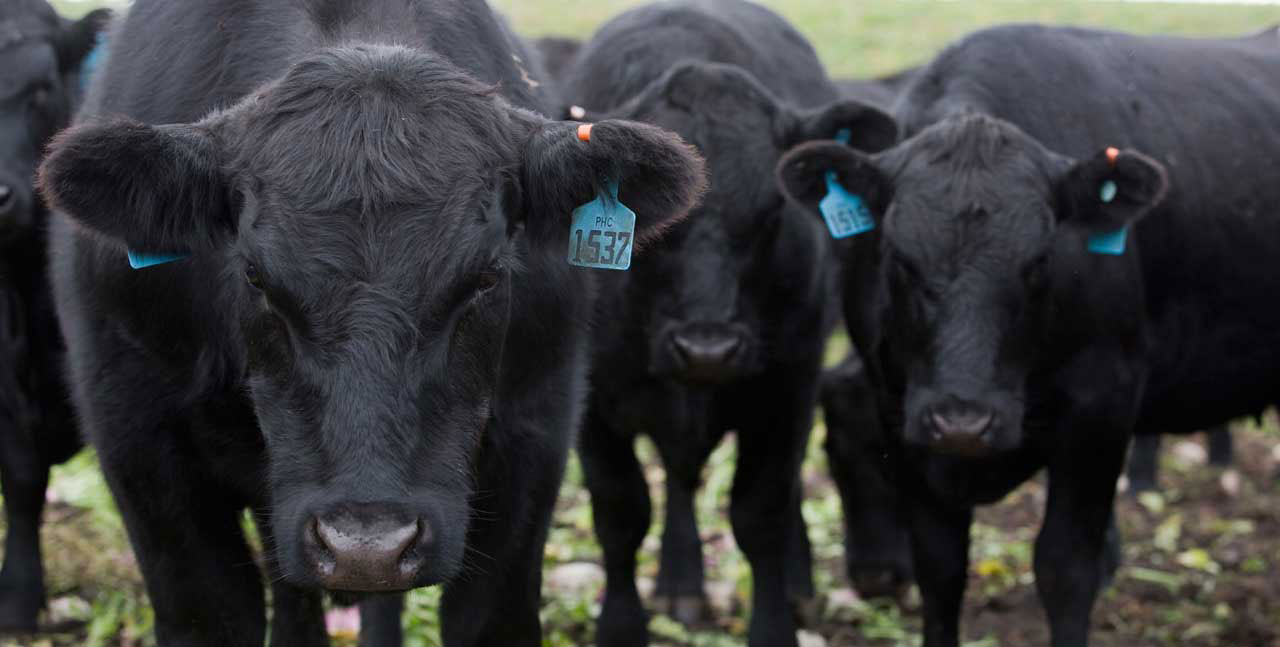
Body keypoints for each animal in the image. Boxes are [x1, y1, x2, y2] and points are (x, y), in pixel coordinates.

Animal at [35, 1, 706, 645]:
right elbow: (213, 616)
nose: (368, 548)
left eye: (487, 276)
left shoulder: (536, 432)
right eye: (254, 276)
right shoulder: (138, 438)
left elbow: (487, 618)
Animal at [563, 2, 901, 643]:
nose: (707, 350)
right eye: (652, 215)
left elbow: (761, 511)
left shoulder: (786, 387)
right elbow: (621, 512)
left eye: (772, 212)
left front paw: (774, 621)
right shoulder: (591, 402)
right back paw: (680, 583)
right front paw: (622, 624)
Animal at [773, 24, 1280, 645]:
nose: (962, 421)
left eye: (1039, 260)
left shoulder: (1102, 405)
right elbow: (940, 567)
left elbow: (1065, 567)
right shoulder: (899, 410)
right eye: (898, 257)